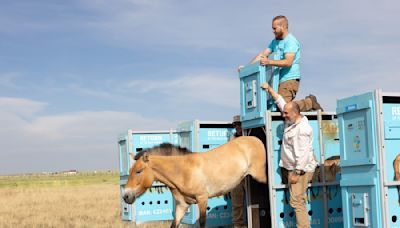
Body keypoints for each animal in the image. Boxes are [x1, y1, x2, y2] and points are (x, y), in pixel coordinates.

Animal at [121, 136, 266, 227]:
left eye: (139, 171)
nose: (126, 196)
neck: (183, 170)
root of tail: (256, 140)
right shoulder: (182, 205)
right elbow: (174, 224)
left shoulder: (202, 199)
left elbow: (202, 222)